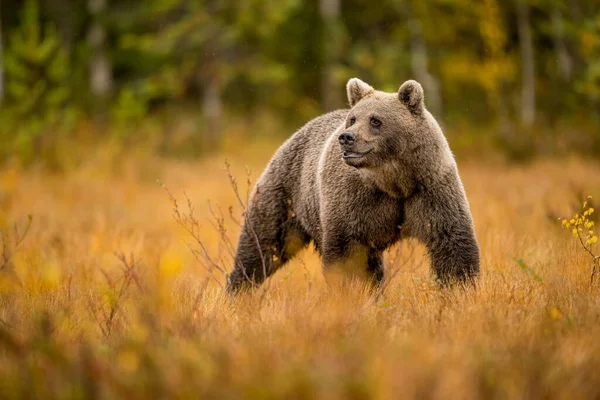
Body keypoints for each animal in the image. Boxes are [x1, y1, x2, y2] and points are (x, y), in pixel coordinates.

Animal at [227, 78, 480, 292]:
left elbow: (450, 240)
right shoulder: (356, 199)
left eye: (375, 120)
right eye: (353, 119)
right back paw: (239, 289)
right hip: (286, 192)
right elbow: (346, 253)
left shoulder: (430, 187)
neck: (394, 181)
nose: (346, 137)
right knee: (263, 244)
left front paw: (460, 289)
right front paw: (351, 291)